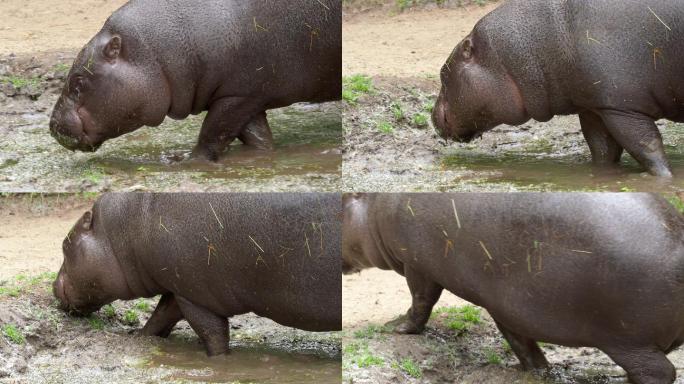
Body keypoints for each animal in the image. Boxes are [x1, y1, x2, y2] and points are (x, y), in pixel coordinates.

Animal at [49, 0, 342, 160]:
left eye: (78, 81)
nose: (52, 126)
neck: (152, 52)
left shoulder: (237, 97)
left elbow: (212, 131)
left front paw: (186, 160)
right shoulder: (247, 96)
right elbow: (255, 137)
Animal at [53, 194, 342, 356]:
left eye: (65, 244)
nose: (53, 286)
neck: (127, 230)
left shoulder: (196, 296)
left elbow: (212, 333)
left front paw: (219, 361)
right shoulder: (178, 288)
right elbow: (160, 317)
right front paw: (138, 336)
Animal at [344, 195, 684, 384]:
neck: (372, 205)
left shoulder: (417, 265)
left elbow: (420, 301)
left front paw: (396, 327)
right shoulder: (507, 306)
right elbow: (522, 344)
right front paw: (536, 372)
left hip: (628, 341)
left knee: (660, 372)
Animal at [432, 0, 684, 177]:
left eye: (444, 75)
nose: (432, 117)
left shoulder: (622, 108)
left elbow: (646, 145)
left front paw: (662, 178)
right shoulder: (594, 107)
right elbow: (602, 149)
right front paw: (602, 176)